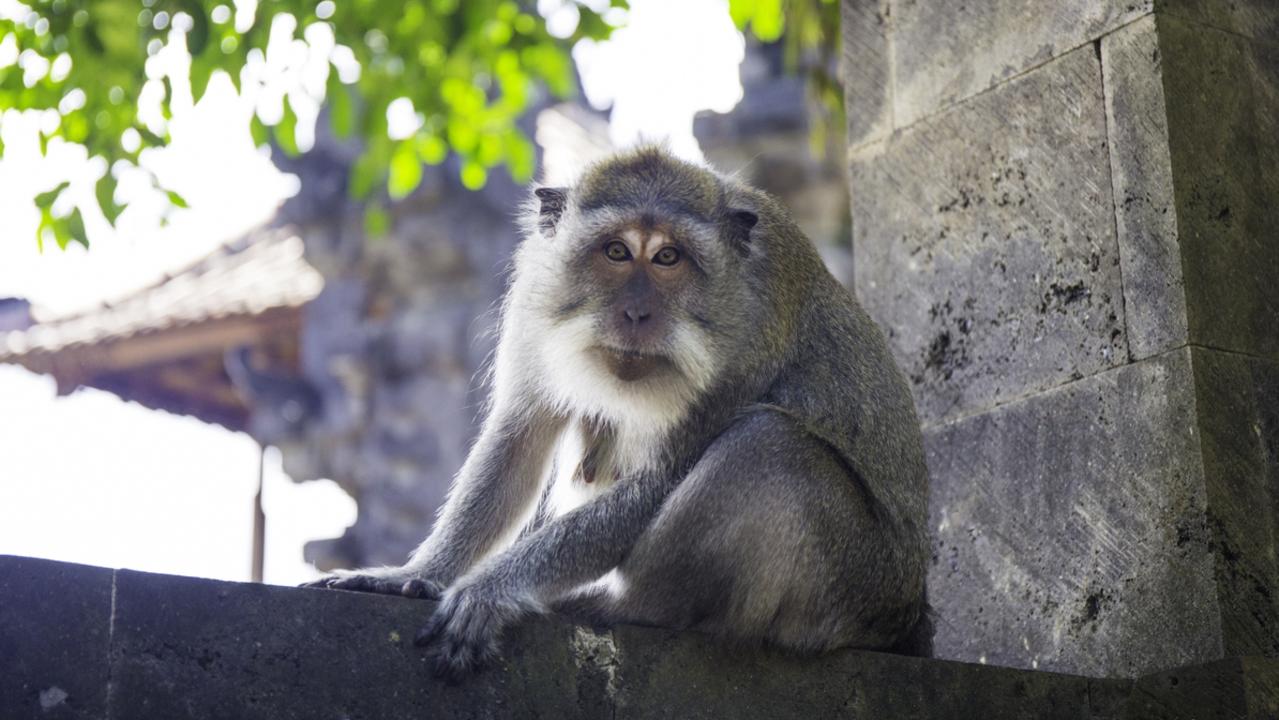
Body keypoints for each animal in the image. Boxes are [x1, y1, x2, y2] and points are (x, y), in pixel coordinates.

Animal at [305, 143, 936, 680]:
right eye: (616, 252)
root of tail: (908, 616)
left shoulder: (753, 333)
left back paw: (621, 604)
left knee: (770, 443)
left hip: (851, 588)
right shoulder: (536, 292)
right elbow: (519, 435)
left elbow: (663, 477)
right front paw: (416, 576)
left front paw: (493, 589)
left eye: (668, 258)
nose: (636, 313)